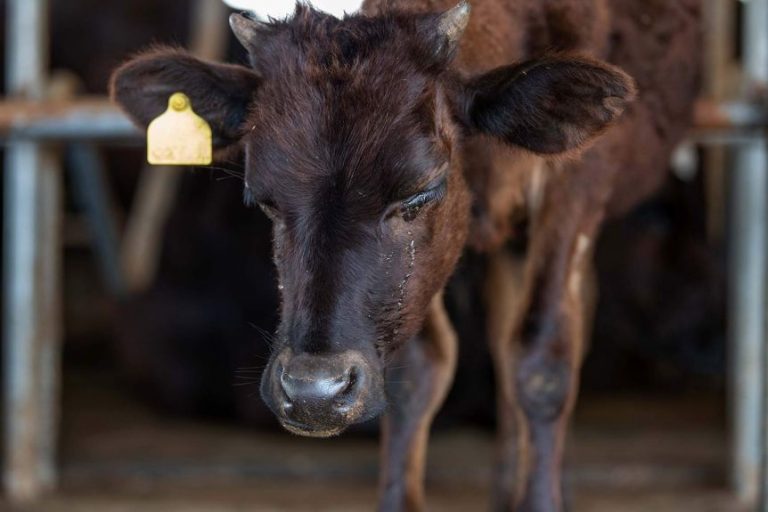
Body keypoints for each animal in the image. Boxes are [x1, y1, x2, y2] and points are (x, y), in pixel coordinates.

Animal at [110, 0, 701, 510]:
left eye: (420, 192)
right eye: (262, 199)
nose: (314, 393)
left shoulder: (577, 187)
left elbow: (542, 360)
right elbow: (420, 371)